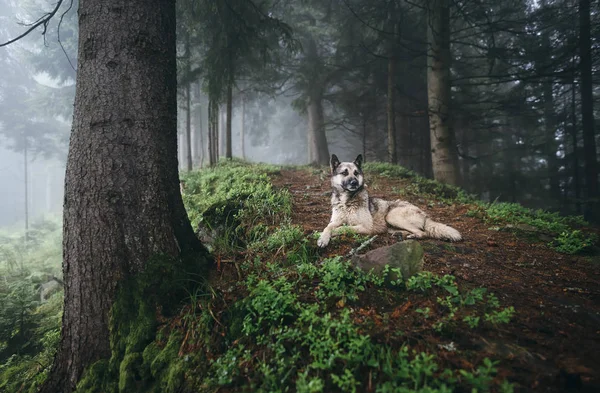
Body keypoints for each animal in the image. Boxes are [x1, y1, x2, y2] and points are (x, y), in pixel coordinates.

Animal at [316, 152, 462, 247]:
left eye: (356, 173)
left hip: (392, 216)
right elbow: (327, 227)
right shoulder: (335, 221)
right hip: (391, 223)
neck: (346, 201)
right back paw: (400, 234)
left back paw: (411, 236)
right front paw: (322, 239)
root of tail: (425, 215)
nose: (354, 183)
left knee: (423, 232)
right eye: (345, 173)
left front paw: (333, 233)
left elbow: (343, 228)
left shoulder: (365, 227)